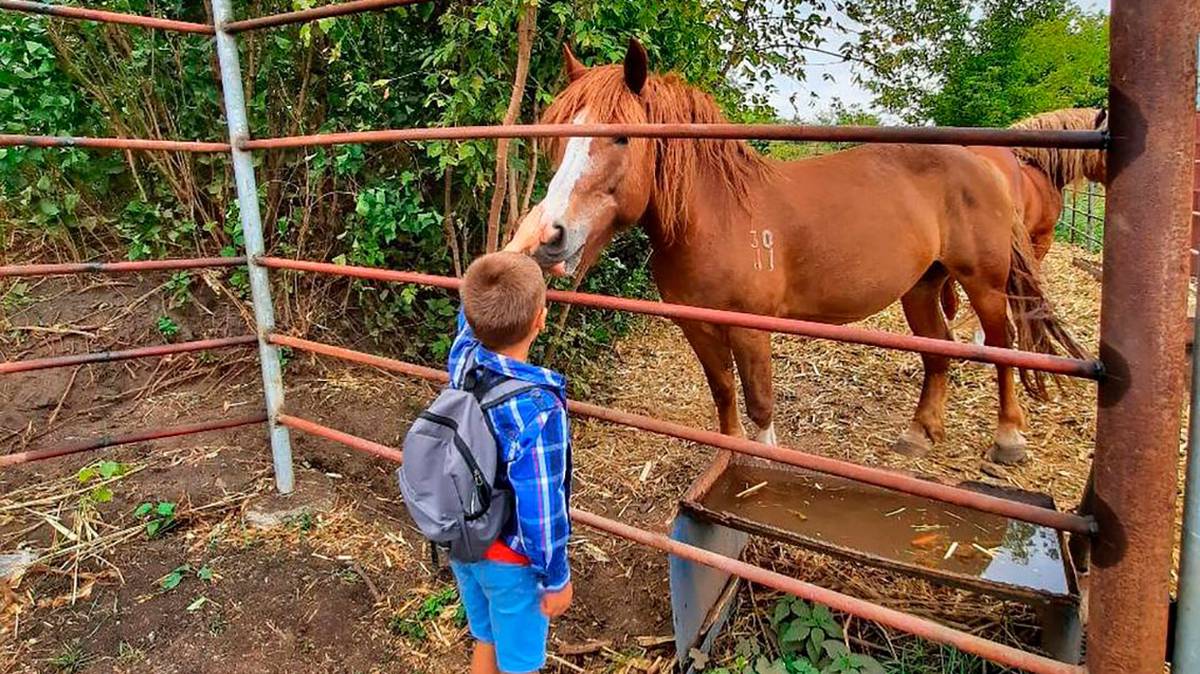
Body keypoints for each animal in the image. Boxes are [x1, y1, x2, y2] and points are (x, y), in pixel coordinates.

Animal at [520, 41, 1084, 460]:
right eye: (557, 137)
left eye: (621, 138)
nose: (549, 236)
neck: (717, 217)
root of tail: (984, 164)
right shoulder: (698, 327)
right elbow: (724, 396)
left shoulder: (751, 330)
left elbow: (760, 404)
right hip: (922, 287)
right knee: (938, 350)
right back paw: (920, 434)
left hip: (984, 283)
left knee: (1002, 343)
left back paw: (1008, 438)